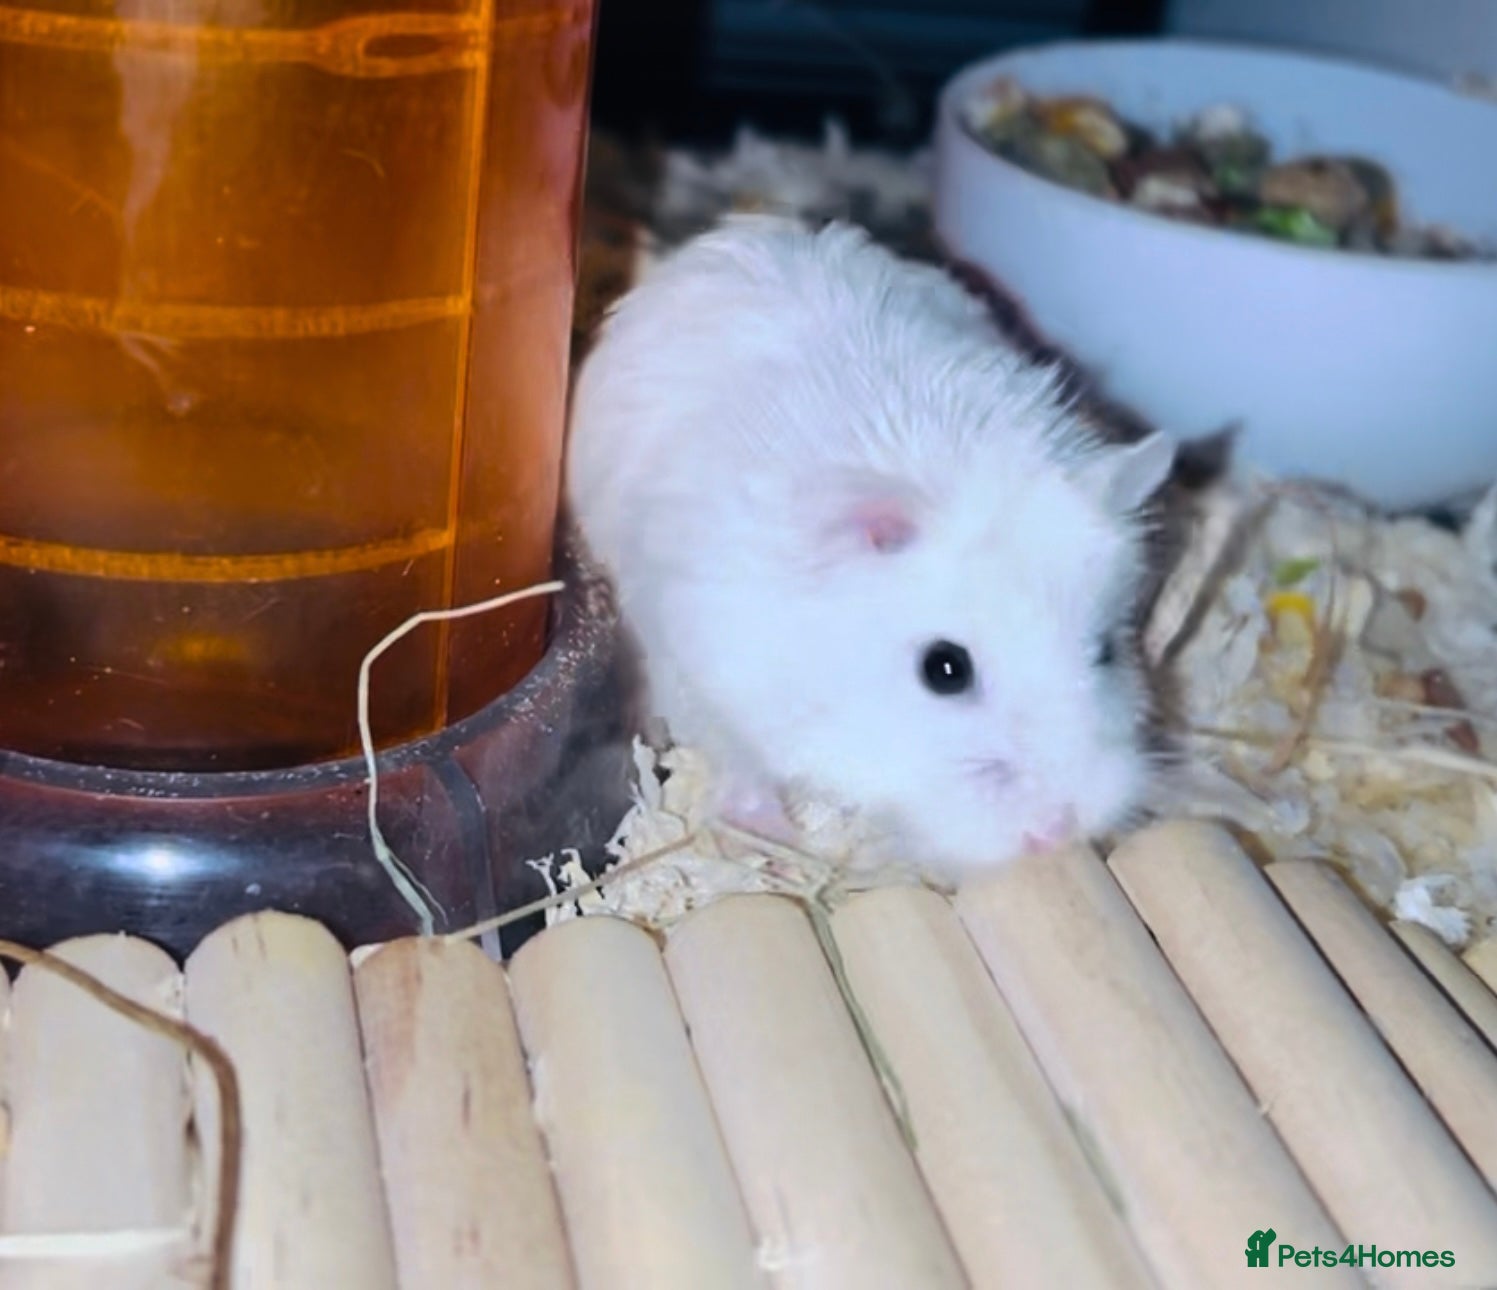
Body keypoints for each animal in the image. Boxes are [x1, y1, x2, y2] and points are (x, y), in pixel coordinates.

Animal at [565, 213, 1176, 874]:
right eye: (944, 670)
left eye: (1107, 652)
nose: (1056, 832)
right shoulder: (698, 666)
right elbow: (737, 761)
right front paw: (778, 846)